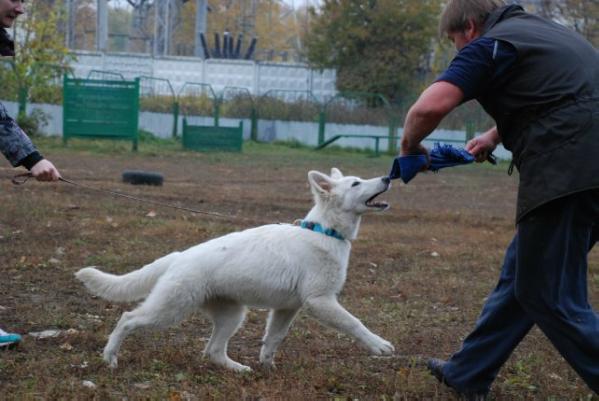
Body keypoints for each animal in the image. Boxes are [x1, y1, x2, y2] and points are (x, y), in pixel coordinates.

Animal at [76, 167, 394, 370]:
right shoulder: (320, 301)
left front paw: (267, 367)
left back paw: (239, 369)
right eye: (355, 183)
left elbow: (273, 339)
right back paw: (110, 356)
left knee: (213, 351)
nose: (388, 177)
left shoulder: (286, 308)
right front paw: (378, 345)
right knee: (128, 319)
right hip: (170, 309)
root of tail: (179, 256)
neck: (325, 231)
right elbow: (354, 323)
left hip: (232, 315)